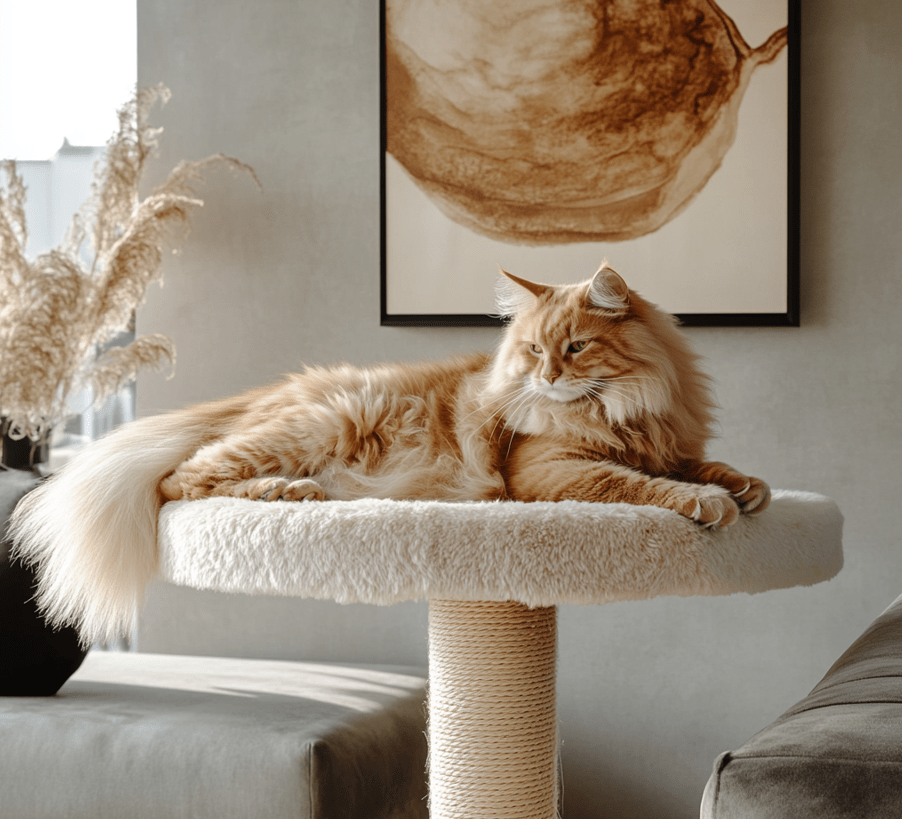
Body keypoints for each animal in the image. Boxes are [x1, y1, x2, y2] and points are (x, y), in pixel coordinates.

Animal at [7, 264, 768, 648]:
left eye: (576, 347)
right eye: (532, 351)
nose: (548, 377)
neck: (627, 408)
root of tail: (272, 391)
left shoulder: (671, 442)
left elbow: (702, 465)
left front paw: (749, 487)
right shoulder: (549, 469)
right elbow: (638, 483)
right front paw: (709, 503)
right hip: (314, 427)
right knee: (182, 479)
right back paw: (286, 493)